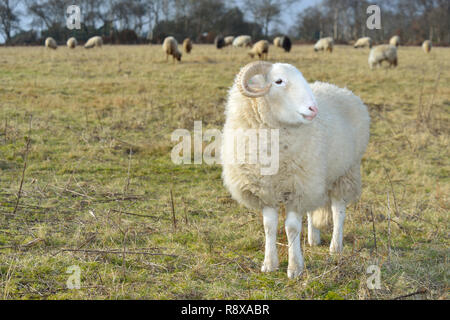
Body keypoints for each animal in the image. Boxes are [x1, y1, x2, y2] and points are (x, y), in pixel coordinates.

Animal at [221, 62, 370, 278]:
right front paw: (269, 264)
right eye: (279, 81)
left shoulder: (297, 188)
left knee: (338, 211)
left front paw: (294, 268)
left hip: (345, 172)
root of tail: (339, 88)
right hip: (316, 176)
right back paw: (313, 238)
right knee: (312, 209)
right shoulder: (267, 189)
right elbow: (269, 227)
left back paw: (335, 246)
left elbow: (291, 228)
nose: (313, 109)